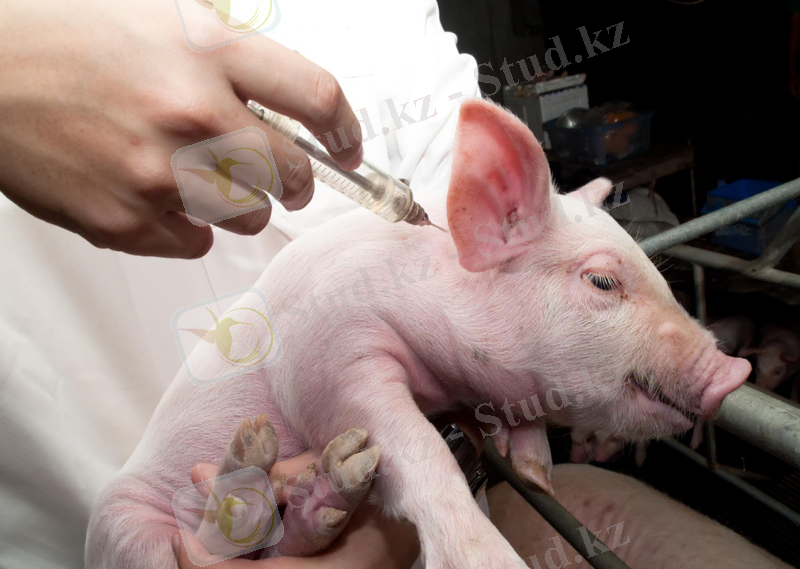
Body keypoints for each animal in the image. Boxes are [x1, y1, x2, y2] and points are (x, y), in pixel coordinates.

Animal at [85, 99, 751, 569]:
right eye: (603, 282)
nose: (733, 371)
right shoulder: (325, 355)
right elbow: (417, 447)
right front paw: (491, 561)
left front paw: (534, 469)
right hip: (122, 527)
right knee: (197, 547)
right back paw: (252, 464)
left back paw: (318, 494)